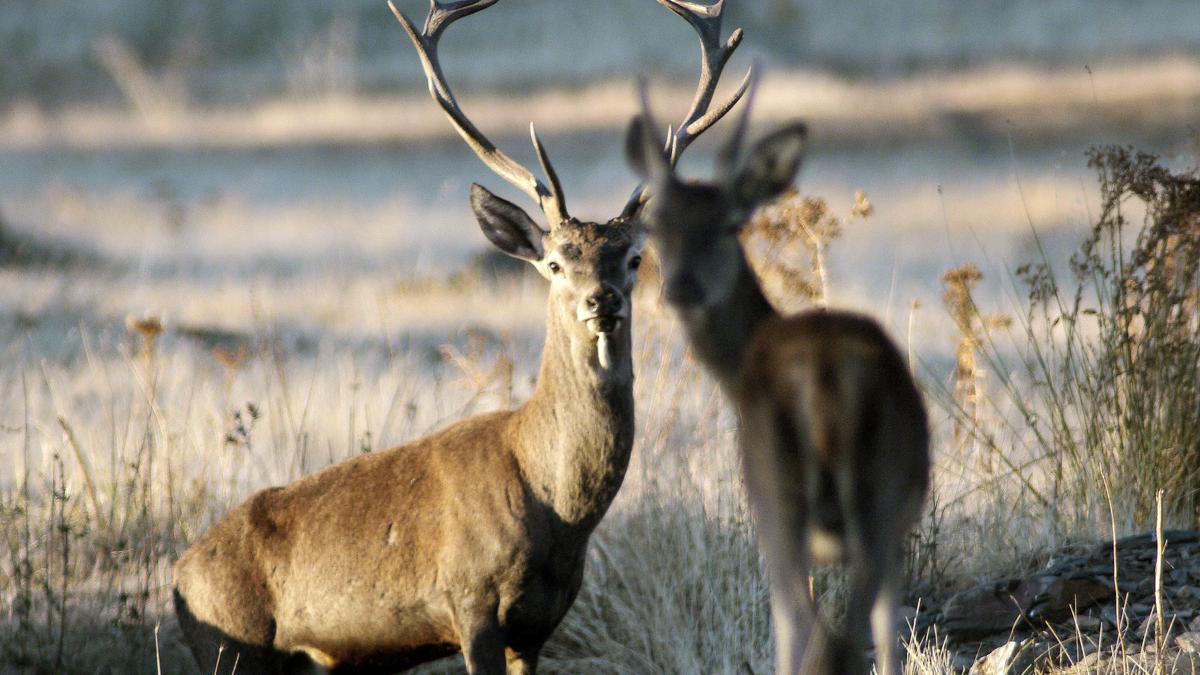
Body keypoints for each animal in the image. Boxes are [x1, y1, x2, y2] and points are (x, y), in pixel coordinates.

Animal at [170, 2, 748, 667]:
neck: (558, 512)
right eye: (555, 263)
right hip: (228, 646)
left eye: (632, 258)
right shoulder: (470, 601)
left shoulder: (540, 626)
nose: (601, 301)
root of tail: (178, 574)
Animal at [628, 84, 926, 672]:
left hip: (775, 494)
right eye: (655, 227)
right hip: (872, 497)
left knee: (812, 634)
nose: (681, 287)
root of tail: (825, 374)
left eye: (729, 224)